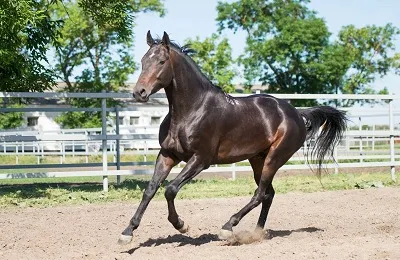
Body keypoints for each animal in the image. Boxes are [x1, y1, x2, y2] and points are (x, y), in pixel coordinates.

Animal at [117, 31, 346, 245]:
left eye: (161, 61)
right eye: (143, 61)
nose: (139, 92)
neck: (191, 110)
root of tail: (297, 113)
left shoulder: (201, 159)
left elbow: (170, 189)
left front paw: (181, 225)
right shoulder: (167, 155)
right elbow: (150, 190)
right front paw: (127, 233)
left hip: (274, 158)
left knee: (260, 193)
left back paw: (228, 227)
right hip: (257, 159)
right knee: (268, 194)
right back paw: (256, 233)